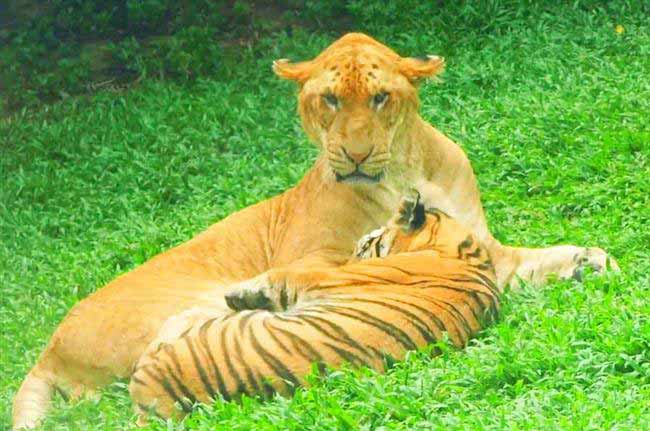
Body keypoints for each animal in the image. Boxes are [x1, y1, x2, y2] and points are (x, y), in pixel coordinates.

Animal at [129, 192, 498, 422]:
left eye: (364, 245)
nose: (349, 259)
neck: (459, 250)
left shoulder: (320, 278)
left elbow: (281, 275)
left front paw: (239, 292)